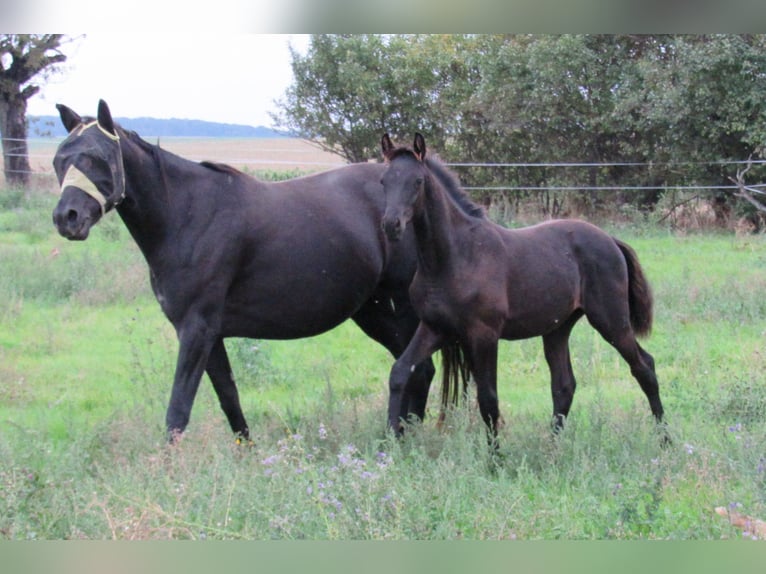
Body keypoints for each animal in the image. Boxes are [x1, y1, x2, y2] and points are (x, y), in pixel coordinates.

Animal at [50, 99, 438, 442]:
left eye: (98, 158)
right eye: (60, 160)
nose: (66, 217)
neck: (187, 214)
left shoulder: (196, 329)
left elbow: (178, 410)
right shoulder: (209, 334)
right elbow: (229, 399)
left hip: (403, 308)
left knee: (416, 369)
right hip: (372, 311)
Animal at [379, 133, 668, 446]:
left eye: (417, 181)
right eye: (384, 181)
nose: (391, 225)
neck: (455, 256)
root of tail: (611, 240)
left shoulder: (484, 334)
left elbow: (488, 399)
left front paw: (496, 456)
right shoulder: (434, 328)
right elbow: (399, 373)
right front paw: (390, 442)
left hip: (611, 321)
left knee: (644, 367)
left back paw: (666, 440)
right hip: (557, 328)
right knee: (564, 385)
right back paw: (552, 447)